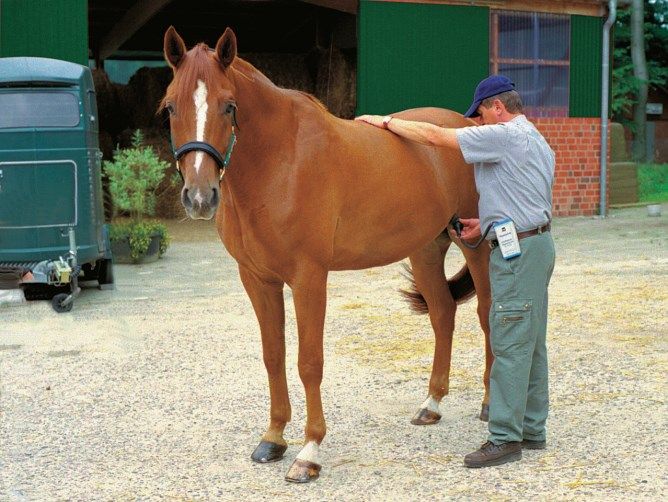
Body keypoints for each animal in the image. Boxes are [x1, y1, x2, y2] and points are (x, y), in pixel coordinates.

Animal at [163, 26, 490, 482]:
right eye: (170, 107)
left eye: (229, 106)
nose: (198, 197)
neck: (280, 160)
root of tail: (465, 127)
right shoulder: (257, 278)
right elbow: (273, 355)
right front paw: (272, 438)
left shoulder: (308, 277)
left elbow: (309, 362)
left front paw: (309, 451)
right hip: (426, 249)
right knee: (443, 314)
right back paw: (431, 405)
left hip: (476, 244)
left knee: (489, 315)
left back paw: (490, 405)